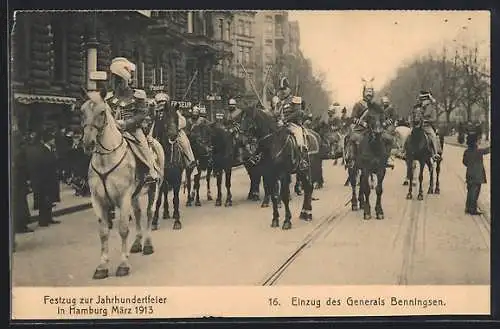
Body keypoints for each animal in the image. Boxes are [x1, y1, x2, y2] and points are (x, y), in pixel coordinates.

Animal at [80, 98, 164, 278]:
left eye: (102, 112)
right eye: (82, 111)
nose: (88, 143)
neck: (106, 159)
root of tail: (153, 139)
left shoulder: (123, 198)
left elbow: (123, 229)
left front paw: (123, 265)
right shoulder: (98, 201)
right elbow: (103, 232)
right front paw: (102, 266)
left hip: (154, 189)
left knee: (149, 213)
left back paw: (148, 245)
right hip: (135, 195)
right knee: (138, 214)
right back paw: (137, 243)